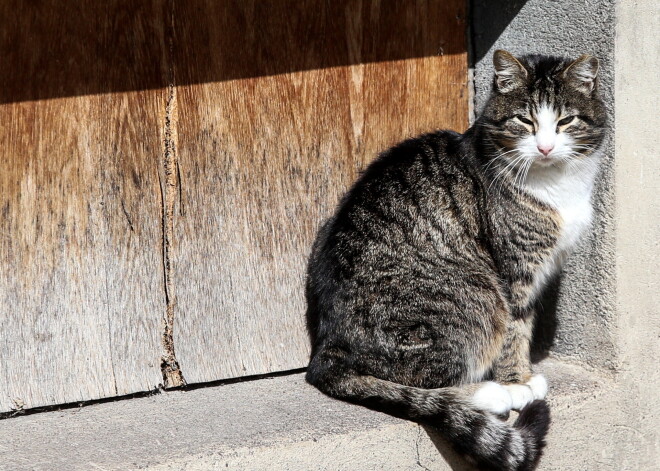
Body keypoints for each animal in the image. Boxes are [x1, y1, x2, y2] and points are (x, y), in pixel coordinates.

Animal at [306, 49, 604, 470]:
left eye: (565, 121)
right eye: (524, 121)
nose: (545, 147)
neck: (555, 184)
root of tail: (326, 348)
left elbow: (526, 324)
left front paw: (523, 374)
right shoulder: (513, 273)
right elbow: (516, 329)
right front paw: (517, 382)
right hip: (477, 296)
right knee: (426, 383)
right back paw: (490, 394)